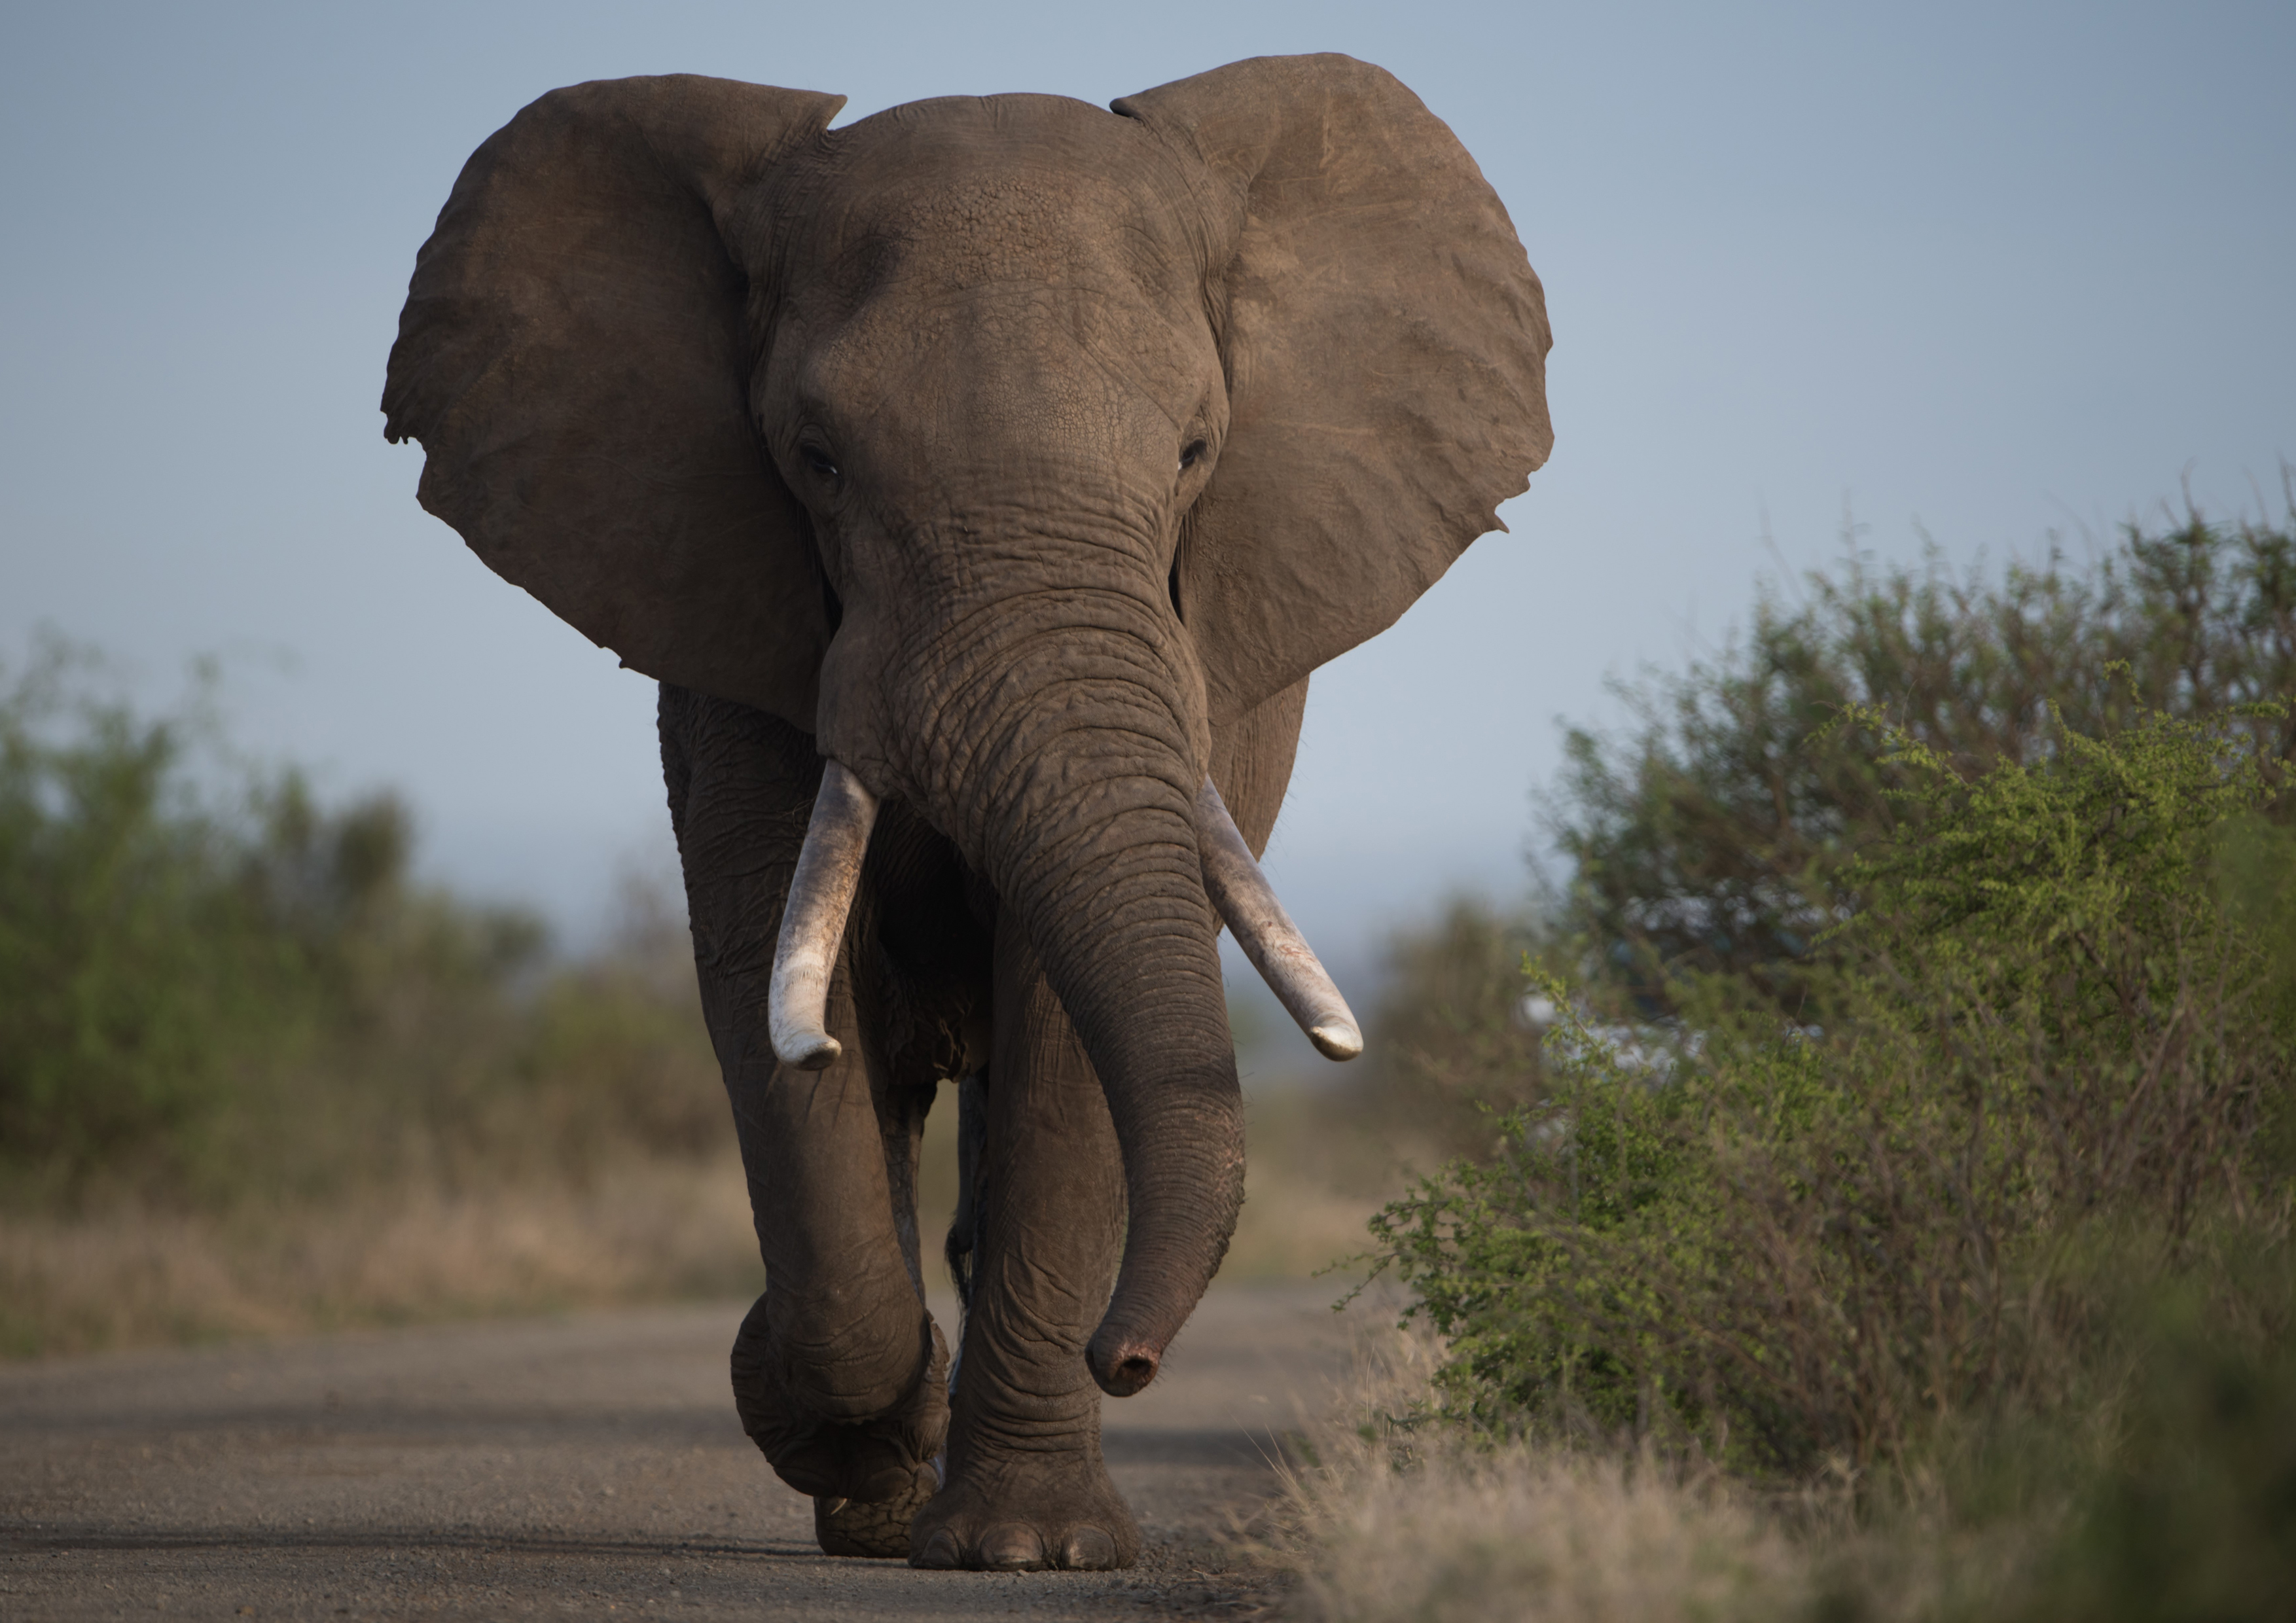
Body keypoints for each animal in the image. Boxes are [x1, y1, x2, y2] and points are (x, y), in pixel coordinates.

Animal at [386, 54, 1552, 1570]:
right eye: (815, 458)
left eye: (1194, 451)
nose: (1131, 1356)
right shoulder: (730, 608)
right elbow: (770, 981)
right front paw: (848, 1434)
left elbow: (1061, 1014)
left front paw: (1026, 1549)